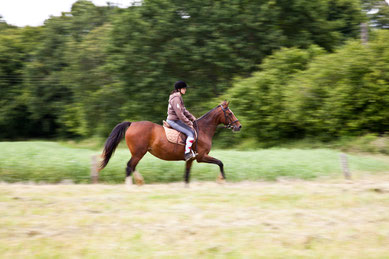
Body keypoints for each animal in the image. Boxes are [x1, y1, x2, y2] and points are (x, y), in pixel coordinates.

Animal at [98, 100, 241, 186]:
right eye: (229, 113)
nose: (239, 126)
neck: (203, 130)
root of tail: (132, 123)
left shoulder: (191, 159)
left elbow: (186, 176)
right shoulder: (201, 157)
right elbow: (220, 163)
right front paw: (222, 180)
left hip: (138, 153)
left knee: (131, 167)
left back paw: (139, 181)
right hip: (139, 153)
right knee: (129, 167)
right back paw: (131, 185)